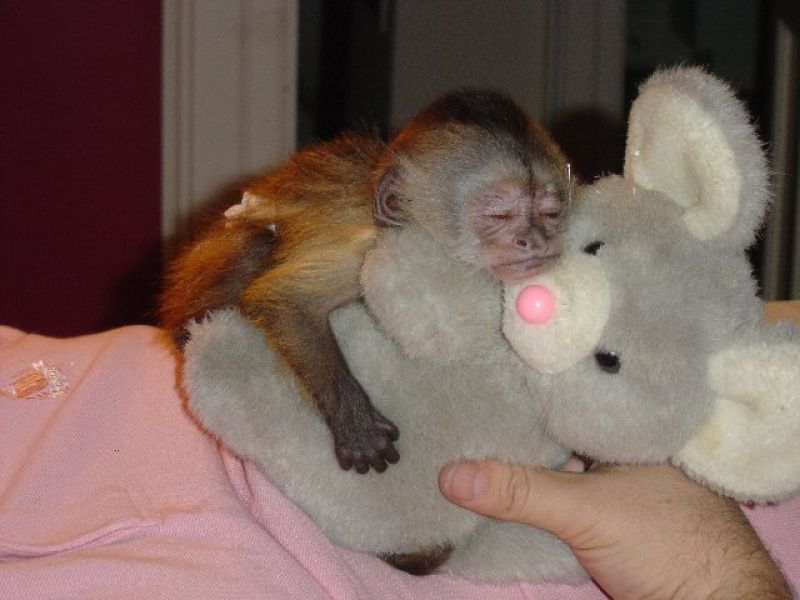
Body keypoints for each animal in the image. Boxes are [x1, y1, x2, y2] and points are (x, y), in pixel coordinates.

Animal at [160, 89, 570, 481]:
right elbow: (282, 301)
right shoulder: (366, 246)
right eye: (498, 215)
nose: (535, 240)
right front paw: (355, 421)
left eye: (550, 212)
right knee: (259, 245)